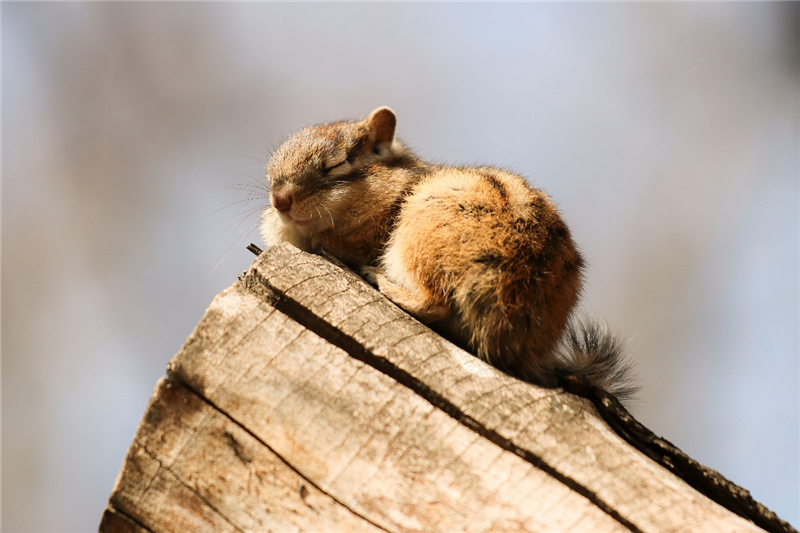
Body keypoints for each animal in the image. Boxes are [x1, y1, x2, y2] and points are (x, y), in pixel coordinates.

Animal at [262, 107, 636, 400]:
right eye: (270, 170)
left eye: (335, 165)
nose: (280, 200)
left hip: (419, 240)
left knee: (435, 303)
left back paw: (381, 280)